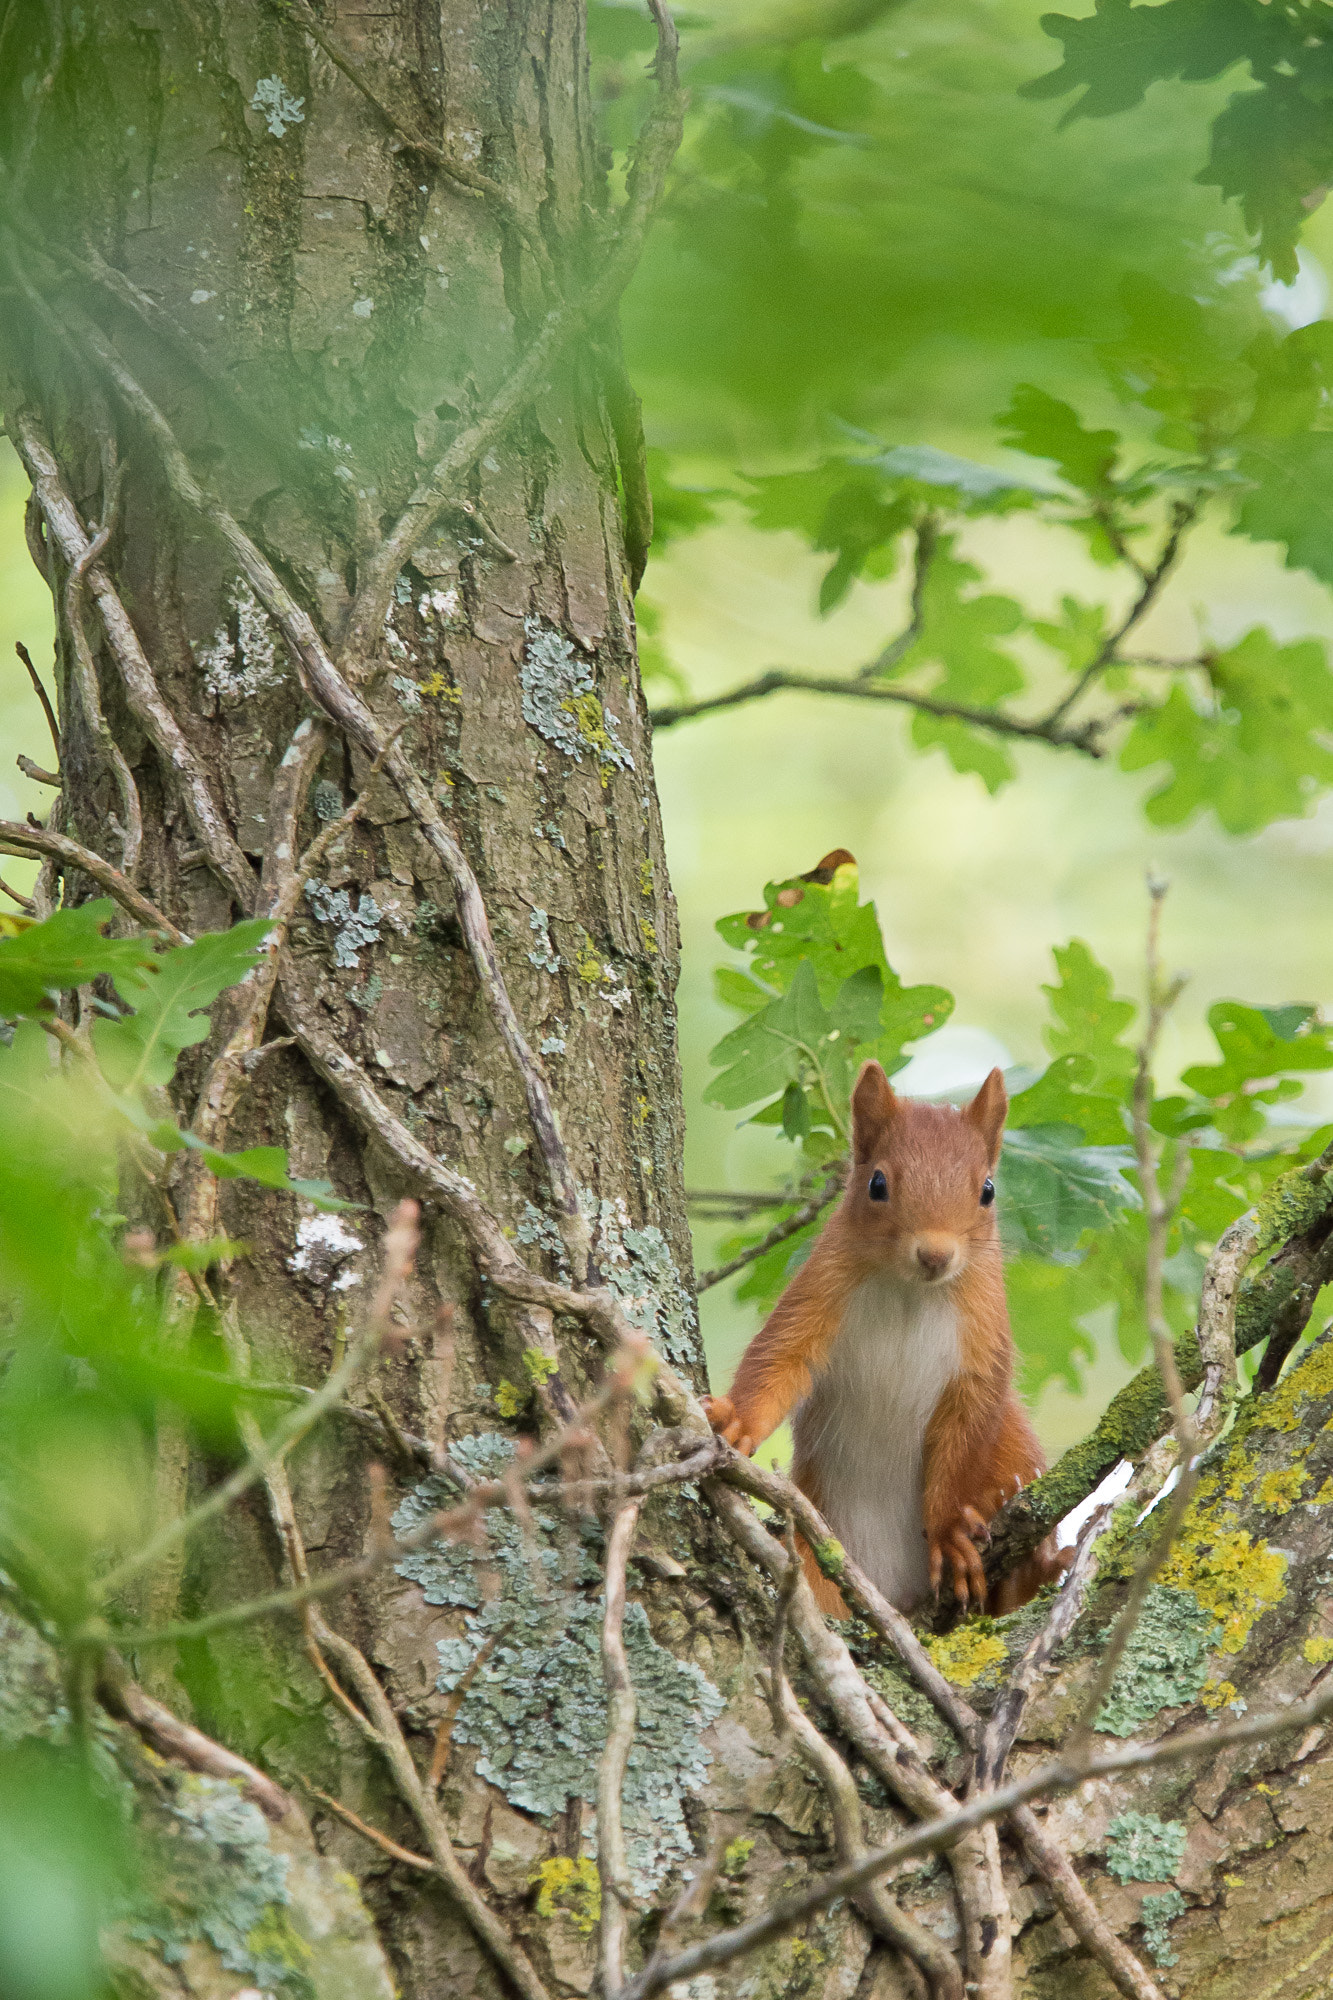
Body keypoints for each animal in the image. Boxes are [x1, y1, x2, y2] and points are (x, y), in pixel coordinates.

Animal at [704, 1064, 1056, 1608]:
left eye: (988, 1190)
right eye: (877, 1183)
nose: (935, 1255)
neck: (909, 1290)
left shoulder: (983, 1339)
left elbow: (969, 1427)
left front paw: (949, 1532)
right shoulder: (819, 1292)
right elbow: (778, 1356)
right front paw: (738, 1419)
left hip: (1014, 1447)